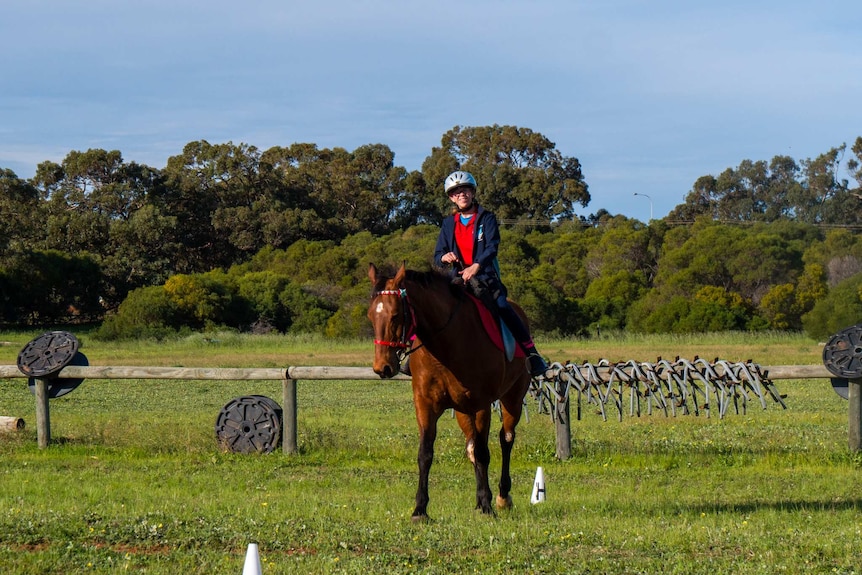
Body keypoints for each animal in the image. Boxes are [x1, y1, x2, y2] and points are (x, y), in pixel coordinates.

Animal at [368, 264, 536, 520]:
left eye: (395, 315)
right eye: (371, 316)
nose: (382, 367)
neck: (446, 345)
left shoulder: (481, 404)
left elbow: (484, 452)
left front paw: (487, 504)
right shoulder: (425, 406)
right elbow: (426, 454)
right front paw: (420, 509)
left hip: (512, 399)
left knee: (505, 439)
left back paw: (501, 497)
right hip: (462, 412)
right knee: (471, 447)